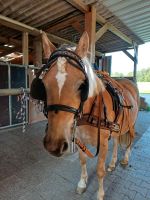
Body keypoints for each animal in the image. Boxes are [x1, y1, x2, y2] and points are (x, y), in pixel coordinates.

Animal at [30, 31, 139, 200]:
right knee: (116, 142)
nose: (53, 145)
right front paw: (82, 183)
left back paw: (125, 159)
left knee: (129, 140)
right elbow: (82, 161)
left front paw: (100, 194)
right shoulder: (79, 138)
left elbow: (100, 170)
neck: (89, 113)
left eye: (82, 85)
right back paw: (112, 163)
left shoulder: (103, 144)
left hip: (131, 124)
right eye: (44, 84)